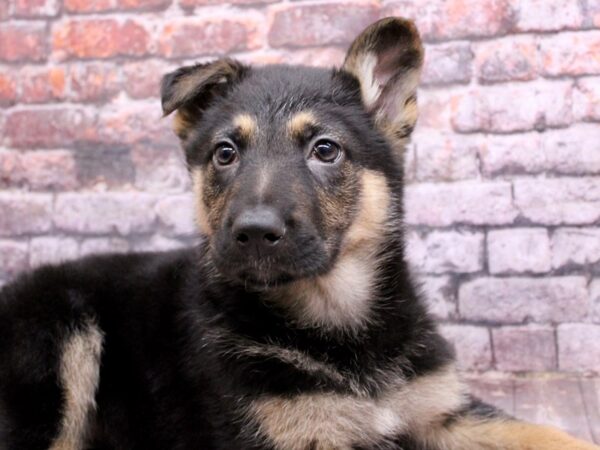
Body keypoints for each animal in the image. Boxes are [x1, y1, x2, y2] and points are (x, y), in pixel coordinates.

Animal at [0, 16, 596, 450]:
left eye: (325, 150)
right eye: (225, 153)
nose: (254, 233)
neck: (337, 319)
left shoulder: (445, 413)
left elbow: (545, 431)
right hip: (61, 333)